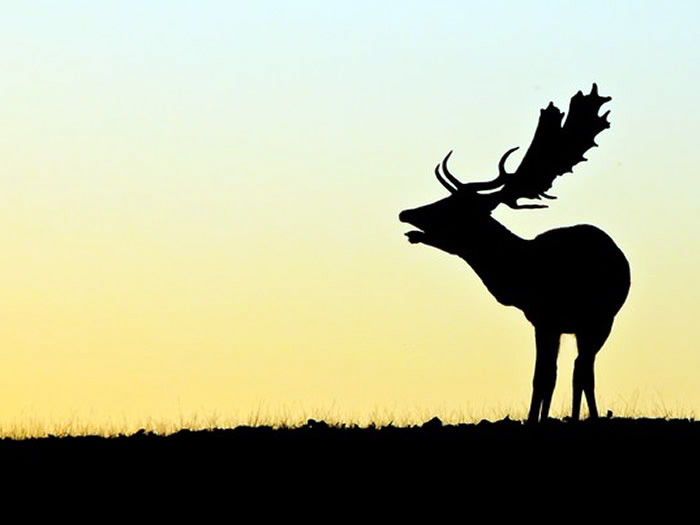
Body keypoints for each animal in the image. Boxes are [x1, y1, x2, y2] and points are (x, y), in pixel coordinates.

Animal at [400, 84, 636, 424]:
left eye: (452, 208)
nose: (406, 213)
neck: (520, 273)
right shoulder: (542, 320)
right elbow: (546, 376)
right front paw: (539, 417)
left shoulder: (548, 318)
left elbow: (545, 376)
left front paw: (534, 419)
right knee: (579, 369)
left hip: (602, 319)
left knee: (582, 370)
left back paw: (587, 416)